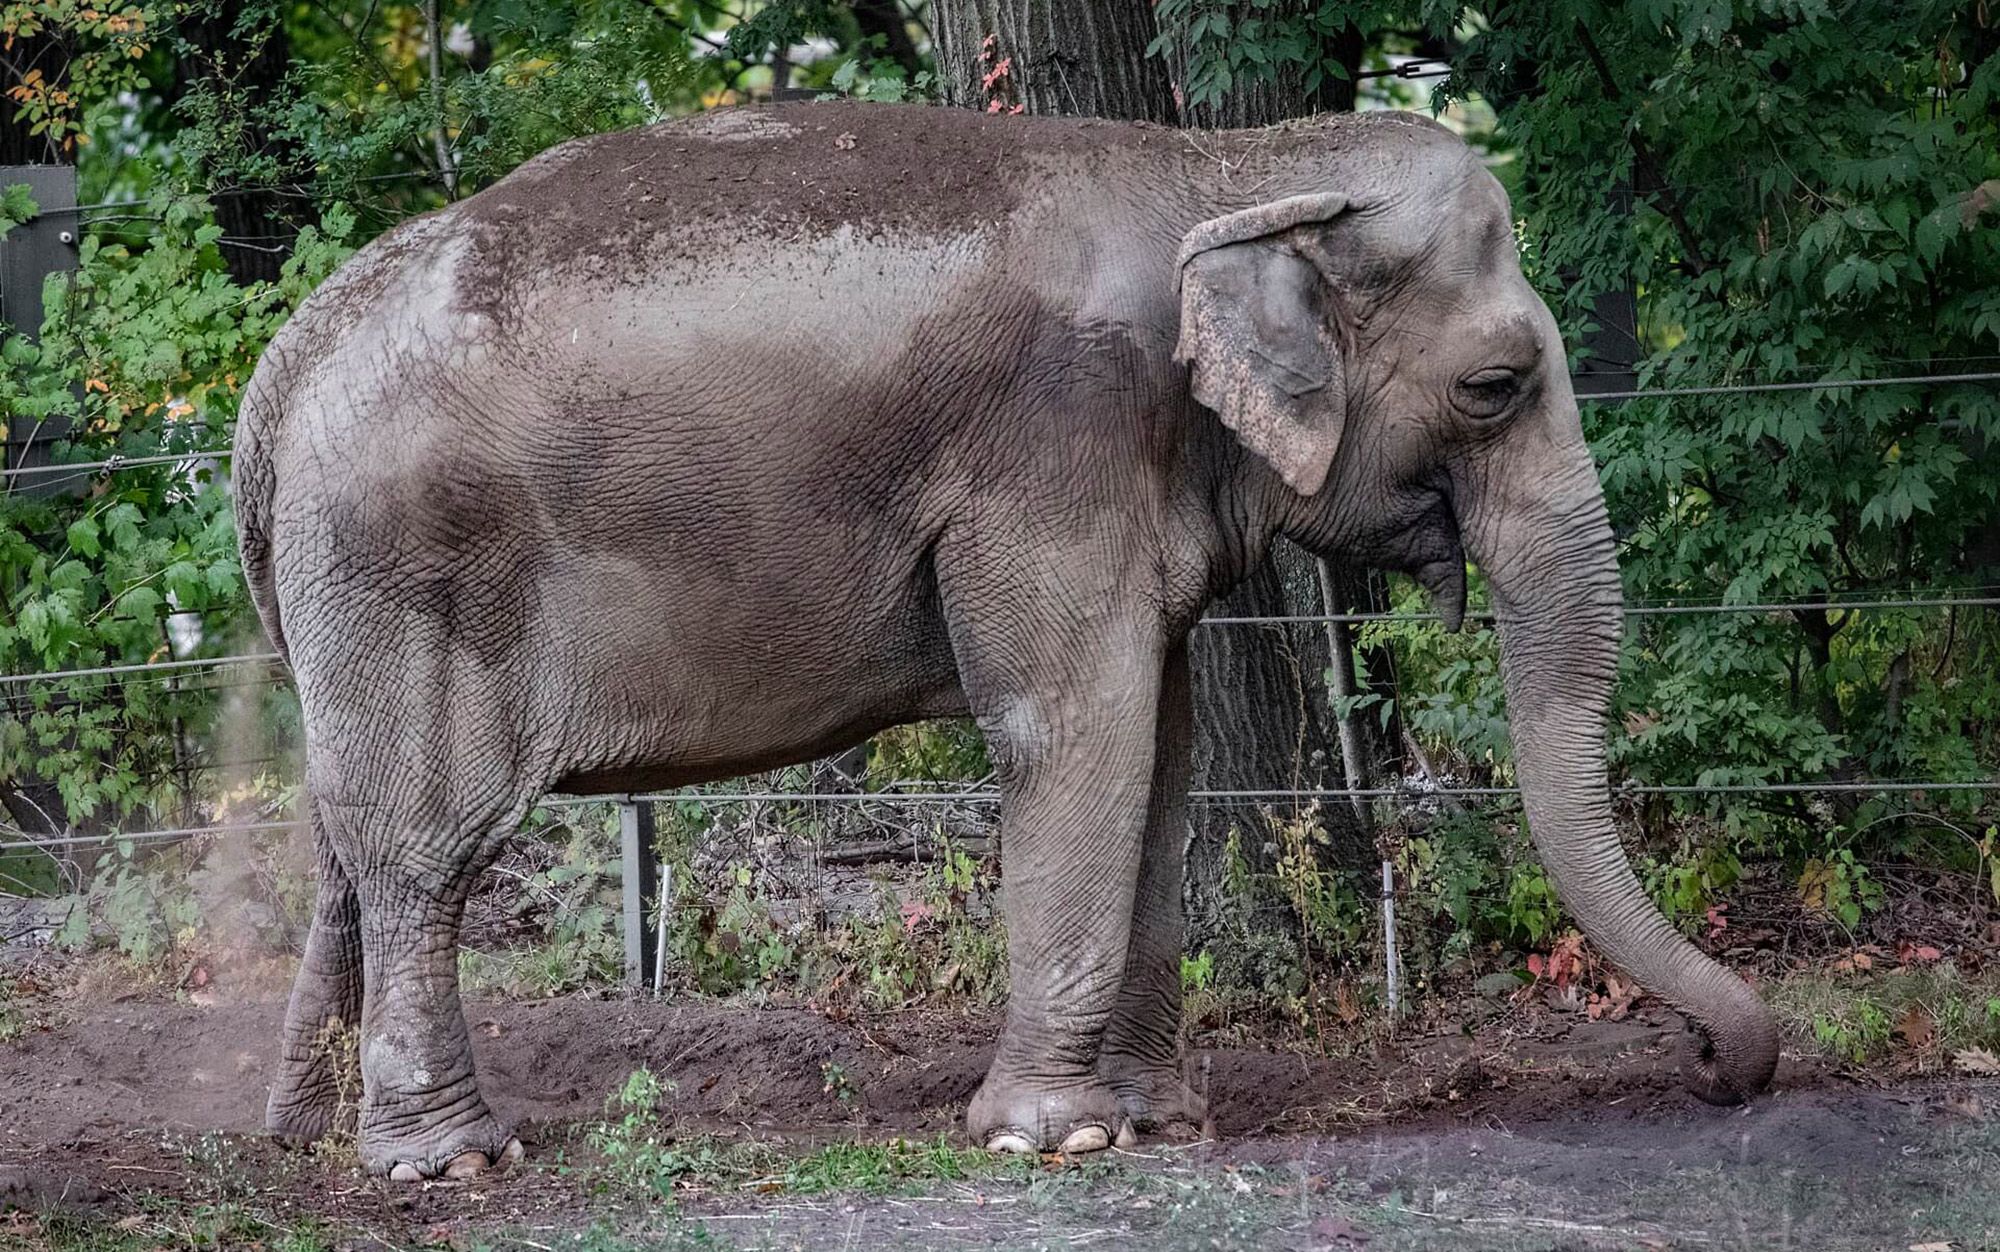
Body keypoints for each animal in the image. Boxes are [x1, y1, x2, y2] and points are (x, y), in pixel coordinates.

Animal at [234, 100, 1784, 1176]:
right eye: (1494, 385)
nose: (1720, 1065)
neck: (1226, 170)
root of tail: (275, 379)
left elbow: (1162, 749)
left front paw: (1156, 1117)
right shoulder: (1055, 447)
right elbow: (1074, 725)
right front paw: (1057, 1137)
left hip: (344, 594)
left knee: (342, 841)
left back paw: (293, 1133)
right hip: (410, 563)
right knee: (424, 848)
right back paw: (446, 1161)